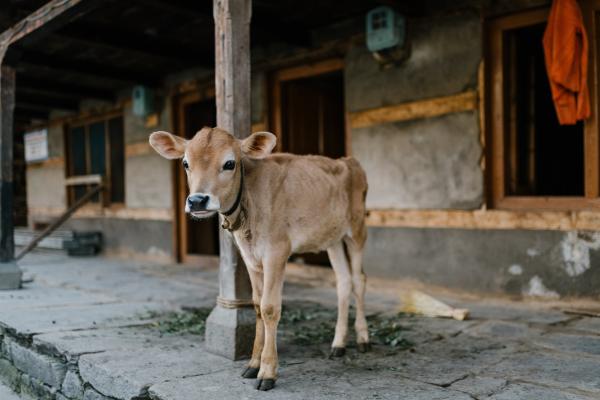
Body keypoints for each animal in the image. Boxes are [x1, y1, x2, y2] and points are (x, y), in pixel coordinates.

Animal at [149, 127, 370, 390]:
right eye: (185, 163)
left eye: (230, 163)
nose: (197, 201)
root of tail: (347, 161)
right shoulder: (250, 256)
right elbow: (256, 305)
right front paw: (253, 364)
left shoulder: (277, 251)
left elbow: (269, 308)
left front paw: (267, 372)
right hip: (332, 238)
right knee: (343, 281)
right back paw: (338, 344)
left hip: (357, 230)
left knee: (359, 280)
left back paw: (363, 338)